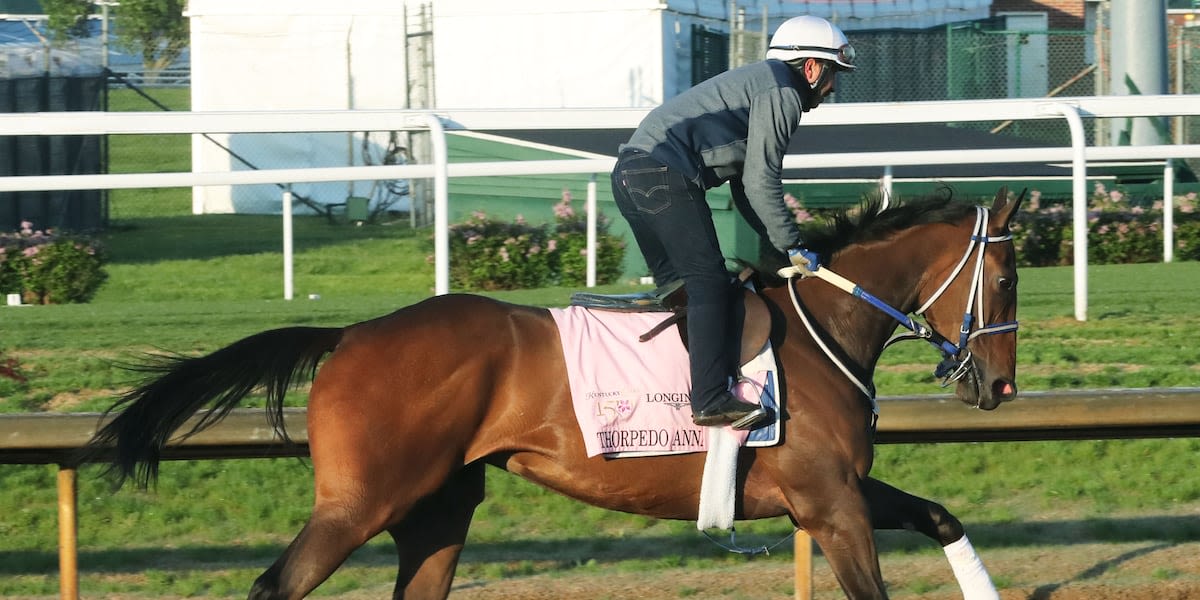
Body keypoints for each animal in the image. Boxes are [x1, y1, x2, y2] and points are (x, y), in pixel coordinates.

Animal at [87, 186, 1022, 595]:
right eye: (1009, 279)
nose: (1002, 386)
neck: (825, 323)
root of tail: (350, 334)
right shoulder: (830, 505)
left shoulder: (837, 492)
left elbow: (943, 517)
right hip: (359, 504)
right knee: (274, 586)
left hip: (436, 510)